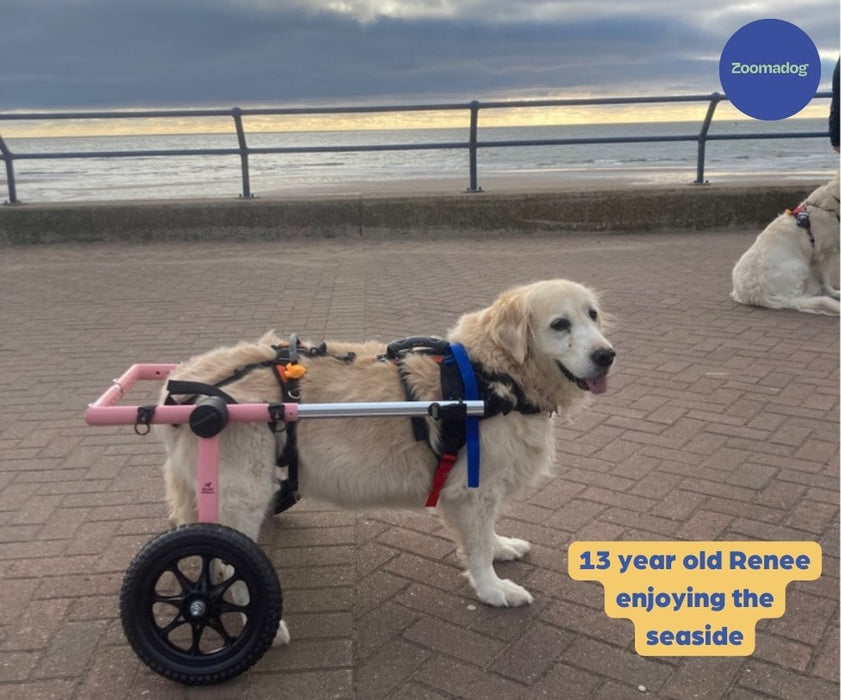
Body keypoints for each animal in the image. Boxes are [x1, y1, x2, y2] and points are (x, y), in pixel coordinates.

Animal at [156, 278, 612, 644]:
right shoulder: (472, 489)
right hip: (243, 494)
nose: (607, 355)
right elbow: (478, 549)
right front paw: (494, 590)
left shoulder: (480, 488)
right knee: (228, 561)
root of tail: (185, 390)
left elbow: (487, 535)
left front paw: (502, 548)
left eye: (592, 315)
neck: (493, 377)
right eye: (560, 324)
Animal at [728, 174, 840, 316]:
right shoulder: (823, 254)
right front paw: (834, 292)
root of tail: (757, 294)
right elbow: (825, 280)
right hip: (799, 266)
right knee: (800, 298)